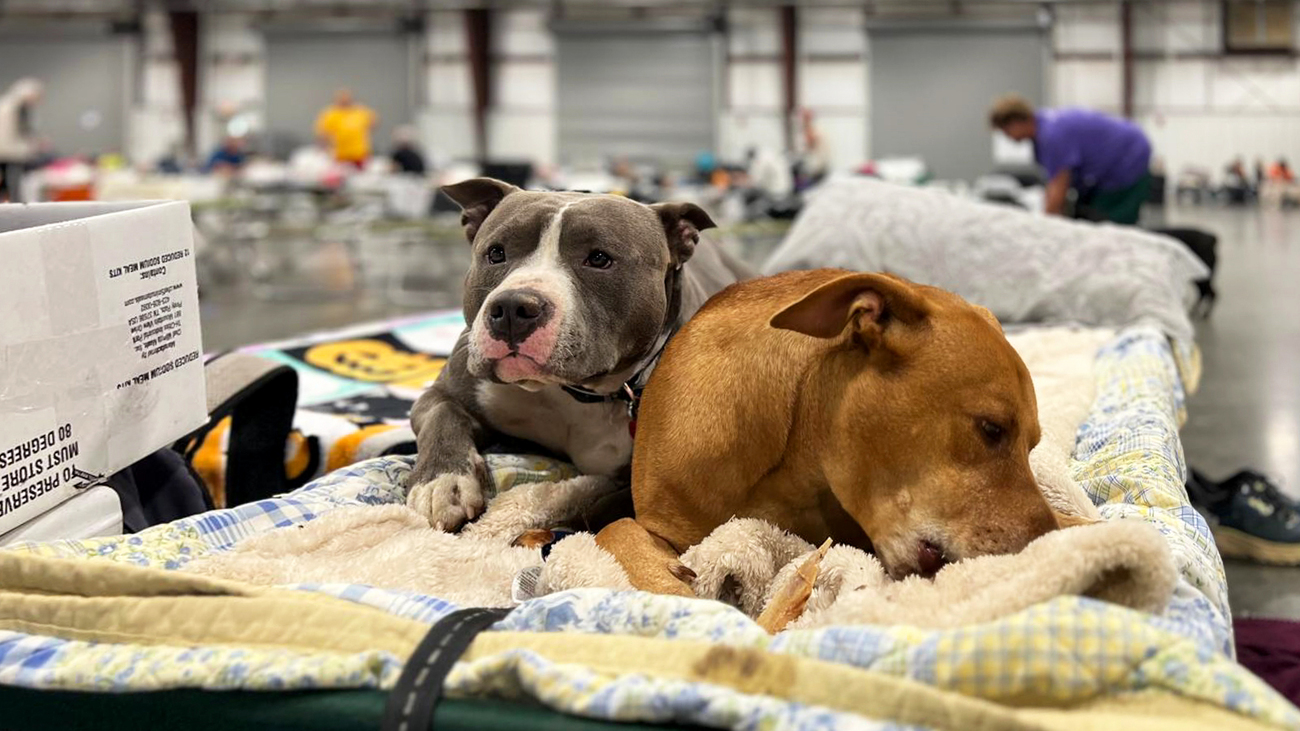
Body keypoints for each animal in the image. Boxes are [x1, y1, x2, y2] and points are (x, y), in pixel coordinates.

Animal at [405, 178, 754, 525]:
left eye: (599, 258)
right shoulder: (444, 391)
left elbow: (602, 508)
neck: (578, 394)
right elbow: (443, 415)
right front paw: (442, 483)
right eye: (495, 253)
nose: (513, 307)